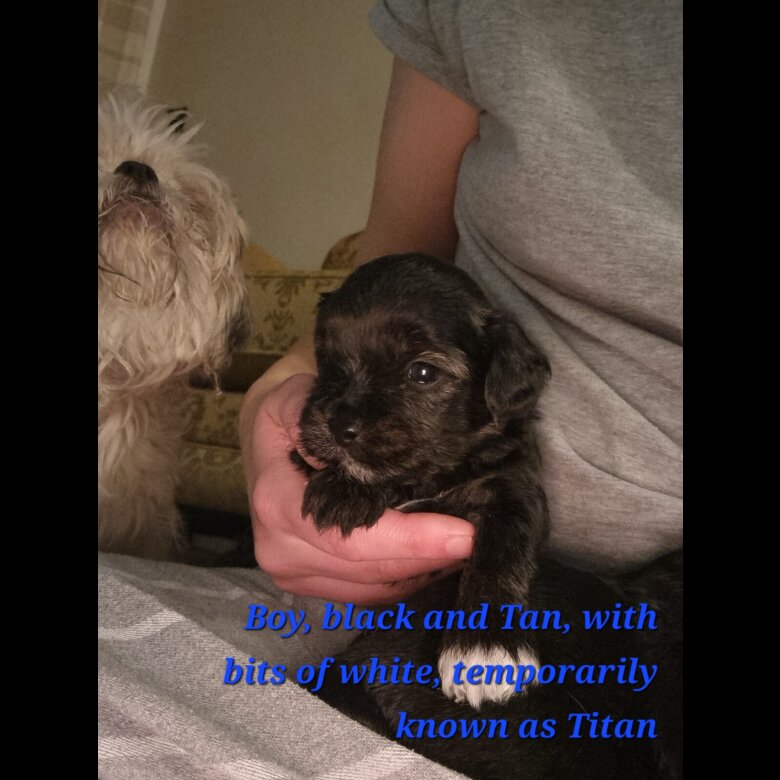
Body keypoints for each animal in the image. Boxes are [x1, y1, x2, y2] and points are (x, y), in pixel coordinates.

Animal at [294, 253, 552, 708]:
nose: (340, 425)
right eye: (326, 358)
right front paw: (345, 489)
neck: (434, 473)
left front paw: (485, 649)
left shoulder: (515, 486)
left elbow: (502, 549)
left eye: (423, 372)